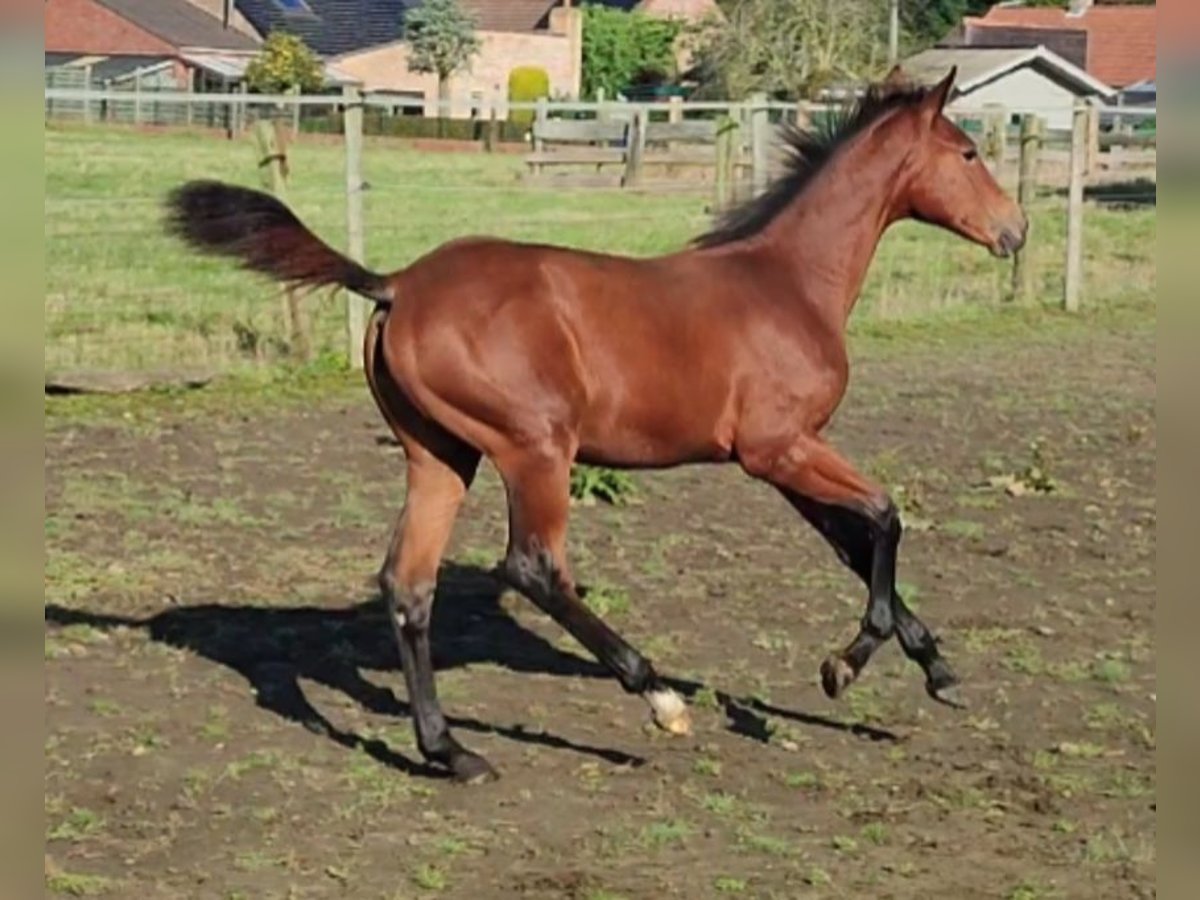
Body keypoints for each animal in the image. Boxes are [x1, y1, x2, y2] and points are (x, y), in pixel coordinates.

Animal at [166, 68, 1032, 782]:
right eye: (966, 153)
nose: (1015, 230)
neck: (788, 282)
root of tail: (396, 286)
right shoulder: (779, 449)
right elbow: (885, 518)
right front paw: (846, 665)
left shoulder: (786, 458)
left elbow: (856, 545)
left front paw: (934, 670)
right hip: (536, 448)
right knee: (534, 567)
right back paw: (658, 698)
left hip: (441, 454)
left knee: (408, 584)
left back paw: (451, 751)